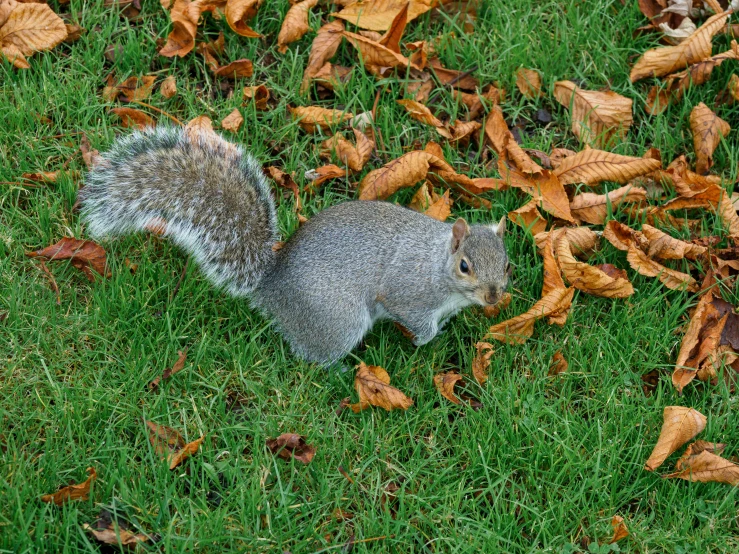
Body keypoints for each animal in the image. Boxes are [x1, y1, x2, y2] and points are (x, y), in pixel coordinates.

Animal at [78, 127, 512, 364]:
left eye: (507, 265)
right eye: (465, 266)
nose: (493, 297)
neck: (438, 263)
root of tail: (273, 288)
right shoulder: (409, 290)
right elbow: (412, 315)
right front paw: (425, 339)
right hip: (338, 318)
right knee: (314, 356)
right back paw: (340, 369)